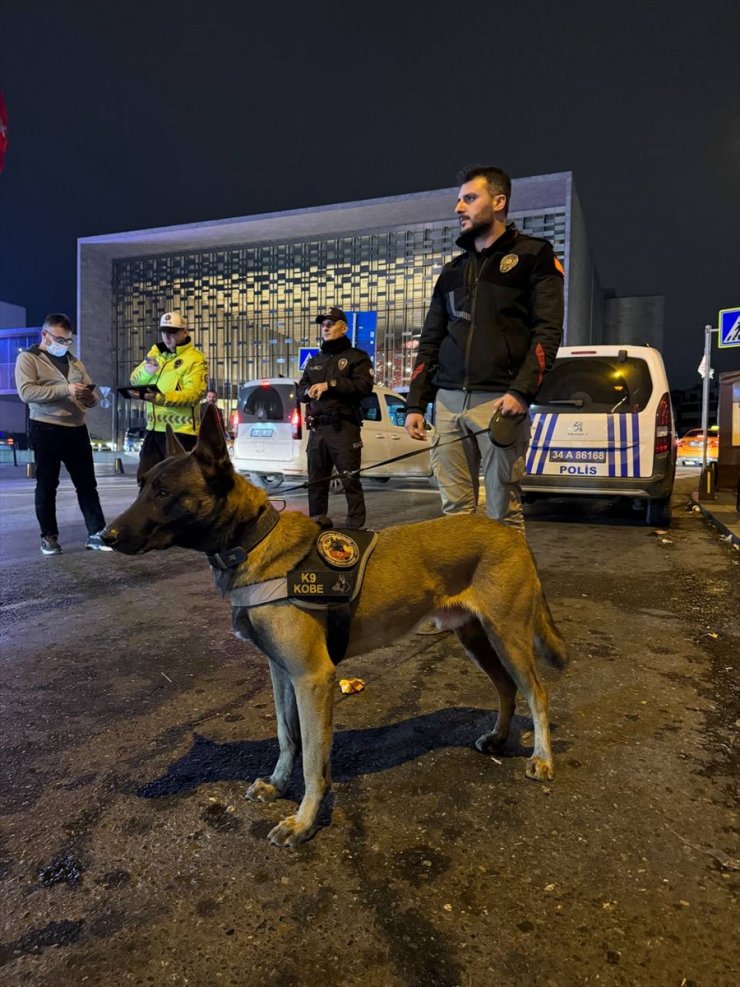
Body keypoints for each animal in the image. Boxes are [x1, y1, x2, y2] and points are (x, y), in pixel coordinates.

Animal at [104, 410, 568, 848]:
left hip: (507, 637)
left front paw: (304, 822)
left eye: (164, 492)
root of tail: (511, 534)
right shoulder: (282, 674)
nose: (105, 536)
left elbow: (313, 758)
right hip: (476, 638)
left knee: (537, 693)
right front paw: (277, 784)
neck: (253, 540)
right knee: (506, 689)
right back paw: (498, 739)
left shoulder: (313, 678)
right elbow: (286, 736)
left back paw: (543, 758)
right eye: (141, 485)